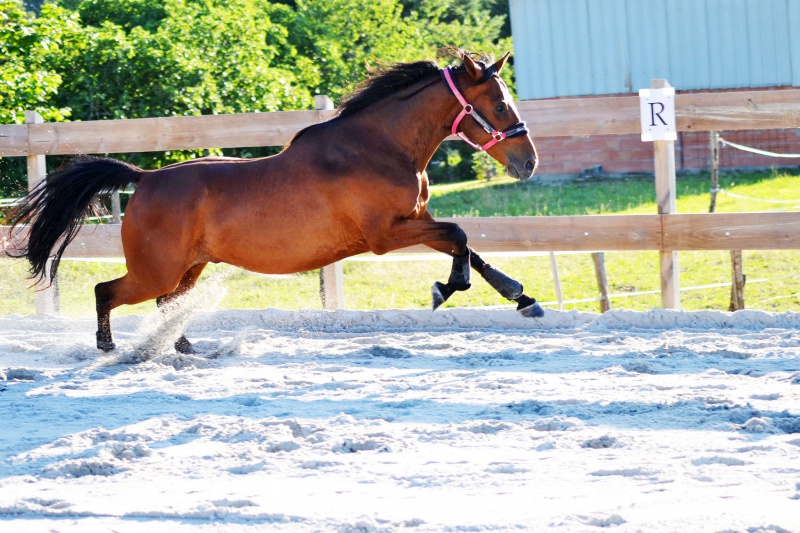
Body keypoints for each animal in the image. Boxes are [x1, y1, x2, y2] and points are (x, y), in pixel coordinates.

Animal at [6, 48, 544, 354]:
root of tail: (144, 178)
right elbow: (460, 237)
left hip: (190, 266)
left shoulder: (414, 219)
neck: (378, 147)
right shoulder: (385, 233)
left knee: (168, 303)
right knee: (108, 292)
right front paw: (446, 289)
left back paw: (185, 349)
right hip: (155, 268)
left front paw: (522, 297)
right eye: (499, 105)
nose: (529, 163)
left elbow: (467, 244)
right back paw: (109, 349)